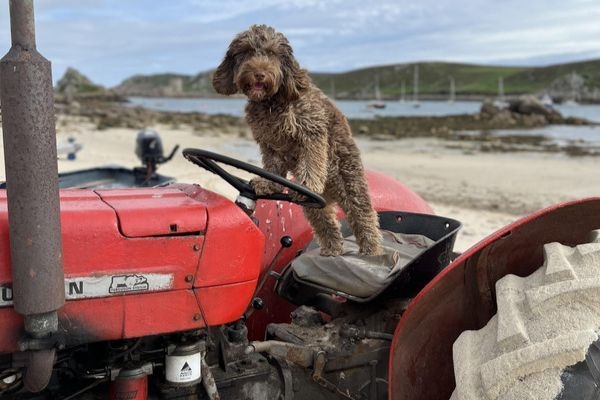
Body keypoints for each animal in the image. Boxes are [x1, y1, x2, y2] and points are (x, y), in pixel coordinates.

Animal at [213, 25, 382, 256]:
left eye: (272, 53)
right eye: (246, 52)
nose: (259, 74)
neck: (272, 102)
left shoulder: (311, 132)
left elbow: (311, 161)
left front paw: (307, 183)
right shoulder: (270, 144)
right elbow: (273, 167)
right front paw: (268, 183)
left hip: (350, 184)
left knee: (364, 217)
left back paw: (371, 251)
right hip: (313, 204)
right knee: (327, 225)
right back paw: (331, 250)